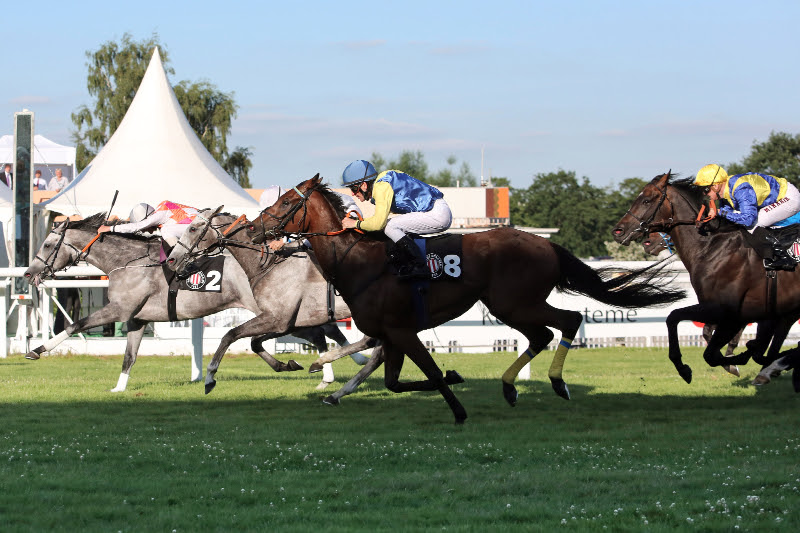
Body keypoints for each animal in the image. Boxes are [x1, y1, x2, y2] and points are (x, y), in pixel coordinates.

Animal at [21, 212, 366, 390]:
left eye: (48, 244)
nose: (29, 272)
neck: (128, 261)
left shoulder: (119, 309)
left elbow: (75, 324)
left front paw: (38, 350)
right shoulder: (136, 319)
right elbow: (129, 357)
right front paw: (119, 388)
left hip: (267, 310)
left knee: (316, 332)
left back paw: (335, 367)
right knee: (316, 330)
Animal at [165, 208, 384, 404]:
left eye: (193, 228)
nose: (171, 259)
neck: (268, 264)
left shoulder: (278, 319)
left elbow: (230, 334)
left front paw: (210, 378)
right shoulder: (287, 322)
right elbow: (254, 342)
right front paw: (287, 365)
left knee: (372, 347)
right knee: (375, 351)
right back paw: (337, 389)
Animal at [245, 175, 688, 424]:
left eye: (287, 203)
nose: (253, 230)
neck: (357, 260)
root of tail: (546, 244)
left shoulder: (401, 331)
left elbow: (426, 373)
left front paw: (458, 406)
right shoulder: (391, 335)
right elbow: (391, 381)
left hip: (515, 302)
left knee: (566, 322)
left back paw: (557, 383)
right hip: (506, 305)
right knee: (543, 334)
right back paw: (511, 388)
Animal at [612, 170, 800, 382]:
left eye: (647, 200)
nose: (618, 231)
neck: (710, 247)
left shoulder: (728, 310)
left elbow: (712, 350)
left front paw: (736, 361)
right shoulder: (717, 307)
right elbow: (676, 319)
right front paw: (685, 368)